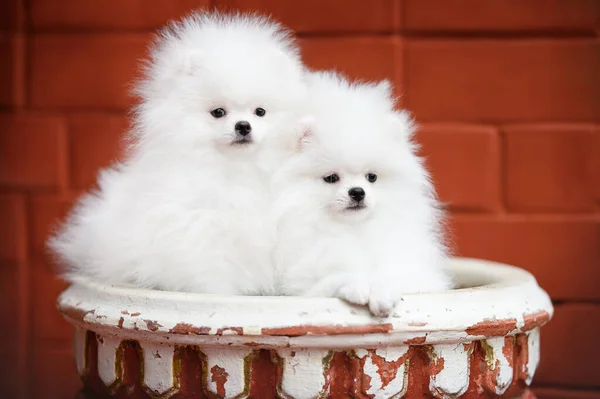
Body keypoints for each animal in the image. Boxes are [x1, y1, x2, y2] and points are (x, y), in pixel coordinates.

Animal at [48, 10, 308, 296]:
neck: (238, 168)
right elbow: (212, 264)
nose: (242, 126)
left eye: (260, 111)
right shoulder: (201, 224)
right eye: (218, 112)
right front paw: (218, 292)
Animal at [272, 72, 450, 316]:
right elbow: (339, 275)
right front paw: (357, 286)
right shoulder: (308, 279)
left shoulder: (413, 271)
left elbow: (391, 275)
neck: (354, 230)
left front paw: (382, 294)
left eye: (371, 177)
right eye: (331, 178)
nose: (357, 192)